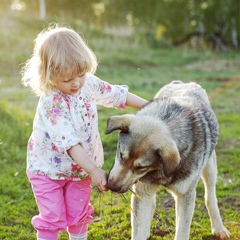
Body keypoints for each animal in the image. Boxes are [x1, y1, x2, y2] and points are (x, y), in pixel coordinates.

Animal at [106, 81, 230, 240]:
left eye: (141, 167)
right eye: (121, 155)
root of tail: (185, 83)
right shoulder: (142, 191)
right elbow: (138, 229)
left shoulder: (185, 196)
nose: (112, 186)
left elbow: (182, 232)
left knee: (210, 197)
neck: (160, 169)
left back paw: (219, 227)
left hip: (210, 169)